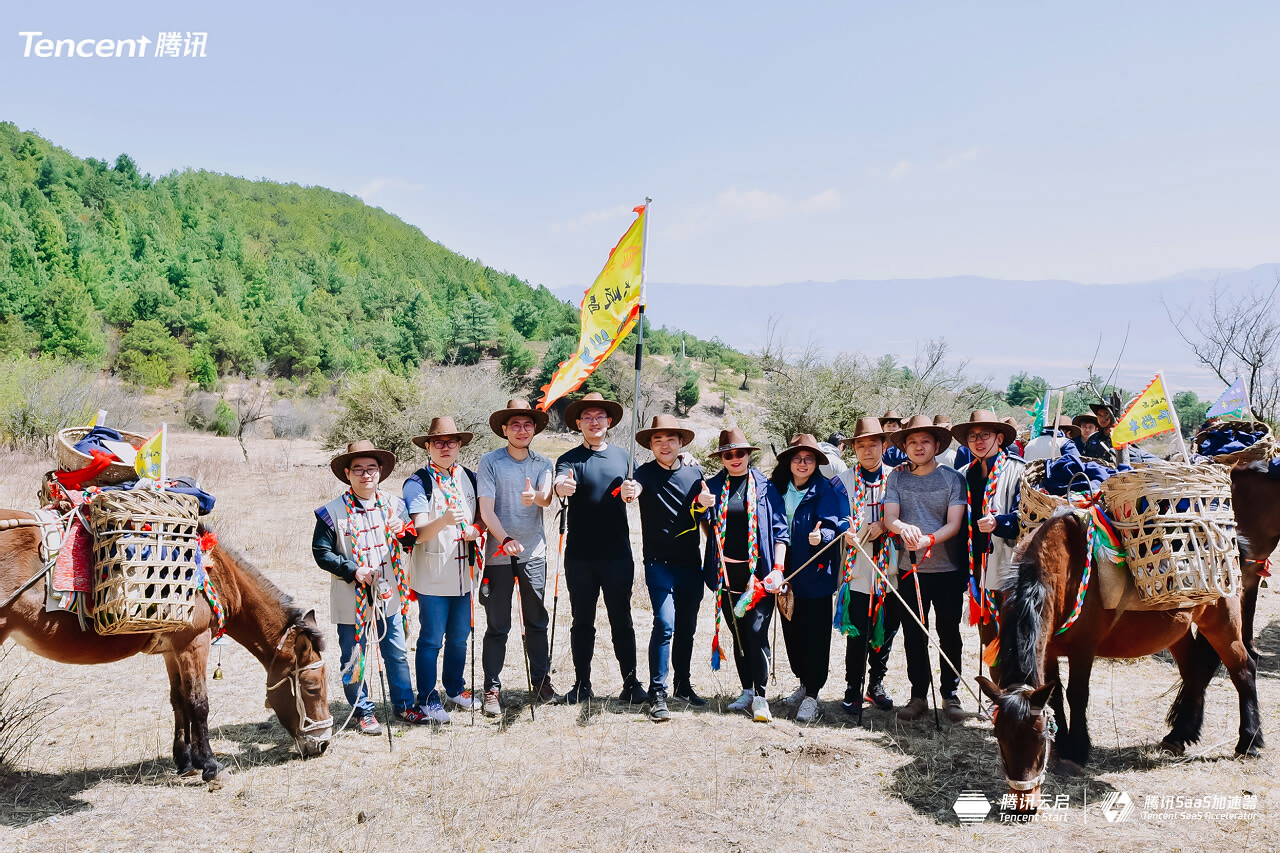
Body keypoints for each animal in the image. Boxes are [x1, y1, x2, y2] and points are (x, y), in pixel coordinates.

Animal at [1, 507, 330, 778]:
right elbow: (198, 702)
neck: (215, 576)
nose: (323, 744)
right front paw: (210, 765)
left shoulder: (172, 650)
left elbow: (179, 700)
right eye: (312, 687)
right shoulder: (194, 642)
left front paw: (185, 762)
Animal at [977, 512, 1259, 804]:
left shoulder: (1083, 648)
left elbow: (1077, 695)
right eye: (1000, 736)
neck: (1059, 572)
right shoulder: (1050, 650)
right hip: (1178, 631)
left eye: (1039, 737)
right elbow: (1054, 696)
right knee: (1195, 673)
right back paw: (1180, 734)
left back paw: (1249, 742)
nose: (1022, 795)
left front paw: (1075, 752)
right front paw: (1063, 745)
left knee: (1243, 670)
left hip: (1223, 623)